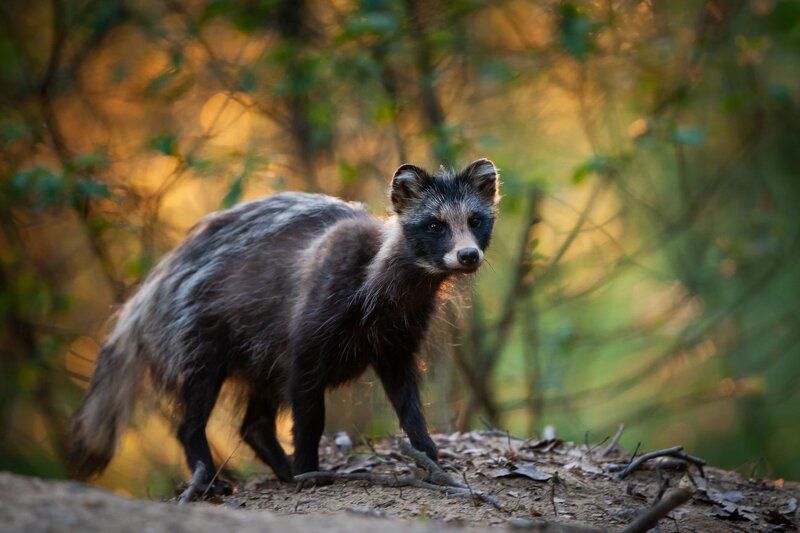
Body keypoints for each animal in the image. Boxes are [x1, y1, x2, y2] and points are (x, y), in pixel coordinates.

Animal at [72, 157, 504, 490]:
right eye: (434, 225)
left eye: (475, 220)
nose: (468, 255)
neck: (404, 285)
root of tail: (151, 289)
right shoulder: (317, 315)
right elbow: (309, 408)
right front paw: (309, 467)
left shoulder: (398, 336)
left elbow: (407, 399)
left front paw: (428, 454)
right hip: (199, 328)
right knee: (197, 404)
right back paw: (212, 473)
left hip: (258, 347)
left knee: (255, 421)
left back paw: (280, 467)